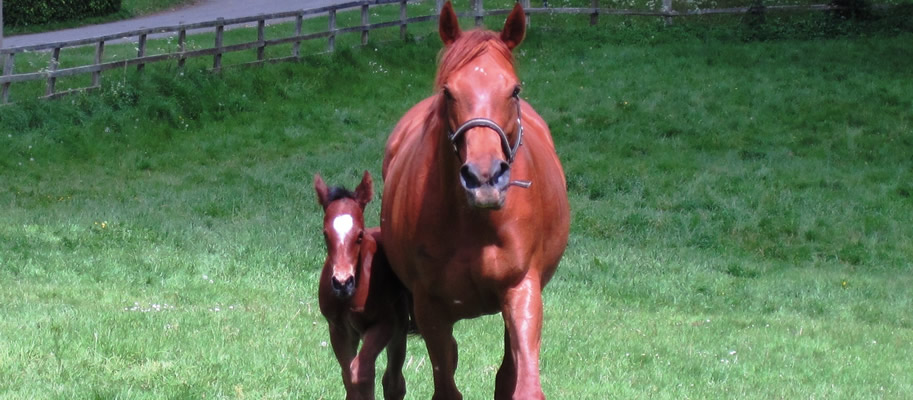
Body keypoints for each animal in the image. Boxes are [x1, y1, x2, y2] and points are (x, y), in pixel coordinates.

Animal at [315, 171, 411, 400]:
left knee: (394, 383)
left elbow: (362, 372)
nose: (342, 282)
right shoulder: (338, 329)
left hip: (400, 327)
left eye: (359, 235)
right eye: (325, 234)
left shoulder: (384, 324)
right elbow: (349, 379)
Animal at [380, 3, 570, 399]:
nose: (484, 178)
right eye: (449, 91)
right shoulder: (430, 307)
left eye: (513, 90)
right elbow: (445, 385)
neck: (474, 225)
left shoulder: (522, 291)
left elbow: (522, 383)